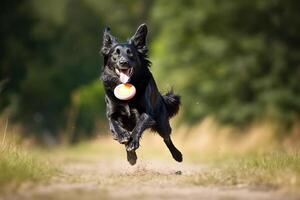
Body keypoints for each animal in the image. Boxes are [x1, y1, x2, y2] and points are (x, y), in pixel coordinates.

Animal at [100, 23, 183, 165]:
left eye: (131, 54)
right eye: (115, 54)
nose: (123, 62)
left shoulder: (147, 113)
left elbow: (138, 127)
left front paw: (133, 142)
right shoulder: (112, 113)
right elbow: (114, 124)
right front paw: (123, 137)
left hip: (162, 122)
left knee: (167, 138)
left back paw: (177, 155)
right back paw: (131, 157)